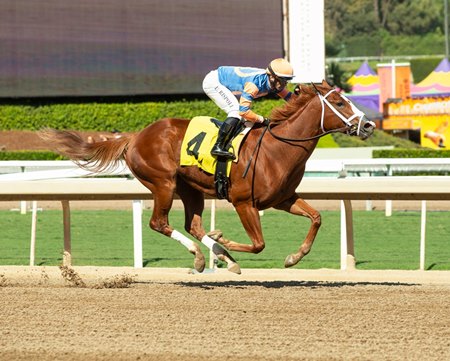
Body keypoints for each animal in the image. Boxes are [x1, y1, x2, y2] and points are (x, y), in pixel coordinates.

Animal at [39, 81, 376, 272]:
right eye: (340, 102)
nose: (369, 125)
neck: (277, 148)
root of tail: (135, 137)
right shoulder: (243, 202)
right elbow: (258, 244)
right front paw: (224, 239)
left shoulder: (283, 199)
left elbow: (316, 217)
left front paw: (294, 257)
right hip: (163, 183)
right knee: (159, 223)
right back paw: (205, 255)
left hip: (192, 190)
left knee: (193, 225)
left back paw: (219, 256)